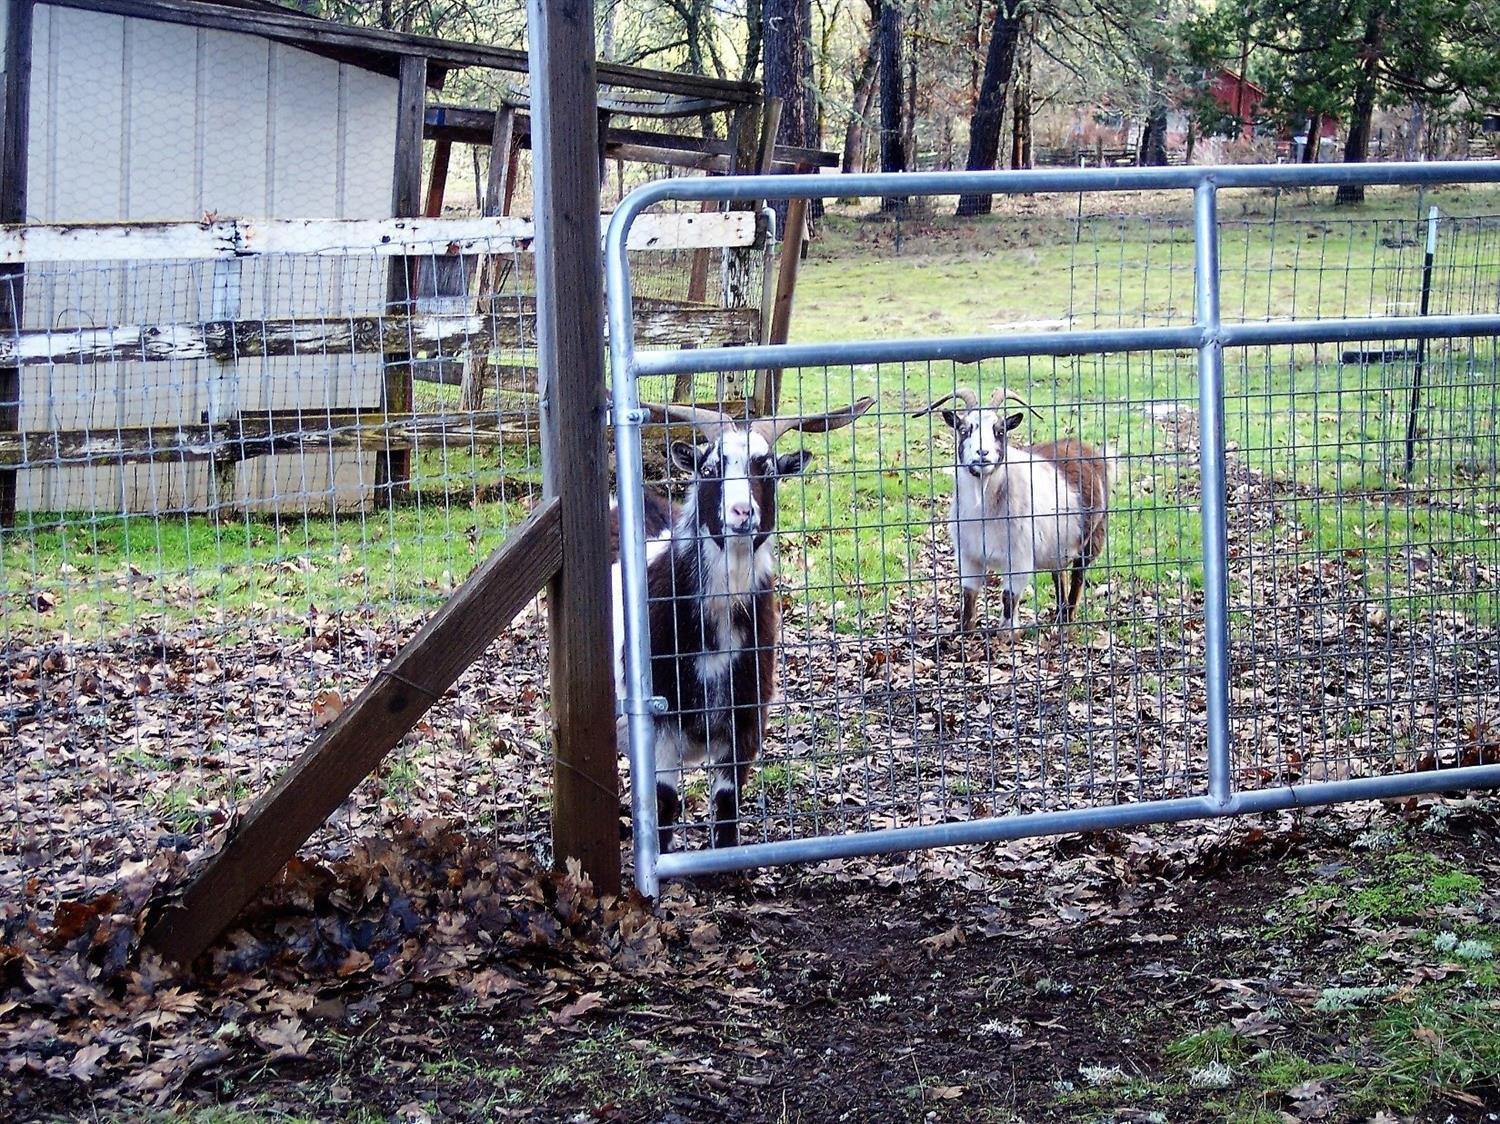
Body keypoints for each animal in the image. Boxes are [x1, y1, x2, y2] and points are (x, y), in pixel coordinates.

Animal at [611, 396, 876, 851]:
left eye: (766, 468)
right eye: (709, 469)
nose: (741, 512)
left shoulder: (746, 724)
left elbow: (726, 809)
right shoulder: (656, 731)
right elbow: (663, 808)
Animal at [916, 387, 1114, 633]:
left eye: (1000, 431)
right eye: (964, 430)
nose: (982, 453)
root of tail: (1089, 449)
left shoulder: (1020, 559)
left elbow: (1008, 598)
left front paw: (1008, 634)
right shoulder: (968, 556)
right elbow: (969, 596)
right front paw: (965, 632)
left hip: (1094, 534)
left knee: (1078, 575)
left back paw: (1066, 620)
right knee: (1060, 575)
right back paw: (1059, 617)